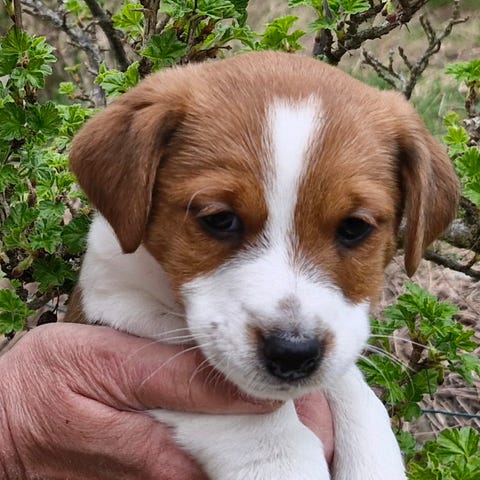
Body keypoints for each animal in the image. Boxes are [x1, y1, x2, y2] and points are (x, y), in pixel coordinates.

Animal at [66, 51, 460, 479]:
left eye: (355, 228)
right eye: (220, 219)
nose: (293, 353)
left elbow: (357, 394)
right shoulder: (114, 308)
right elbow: (257, 427)